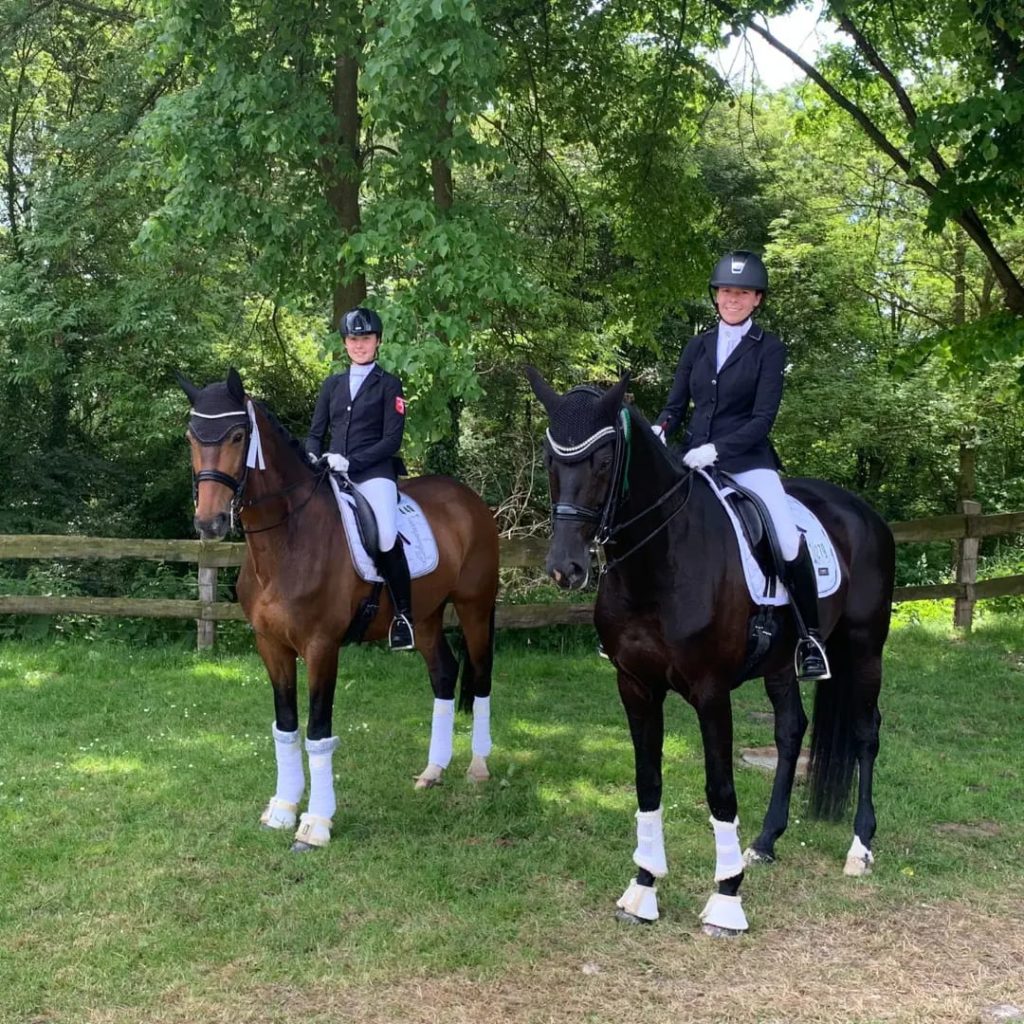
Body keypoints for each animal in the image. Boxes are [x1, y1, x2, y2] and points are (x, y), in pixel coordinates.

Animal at [180, 366, 499, 847]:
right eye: (191, 436)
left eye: (237, 435)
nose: (209, 522)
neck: (287, 539)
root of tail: (468, 499)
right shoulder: (271, 646)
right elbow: (286, 727)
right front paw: (283, 809)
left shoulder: (321, 647)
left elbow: (317, 731)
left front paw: (315, 823)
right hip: (424, 616)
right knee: (444, 674)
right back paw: (432, 771)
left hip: (475, 607)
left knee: (479, 676)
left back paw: (477, 767)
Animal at [528, 368, 897, 937]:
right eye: (550, 459)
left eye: (605, 461)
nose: (564, 569)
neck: (660, 560)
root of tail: (862, 511)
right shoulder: (635, 685)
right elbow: (648, 782)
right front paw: (643, 887)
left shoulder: (710, 691)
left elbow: (720, 789)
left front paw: (726, 900)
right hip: (783, 664)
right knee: (791, 731)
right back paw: (764, 844)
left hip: (863, 647)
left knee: (864, 733)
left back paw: (860, 847)